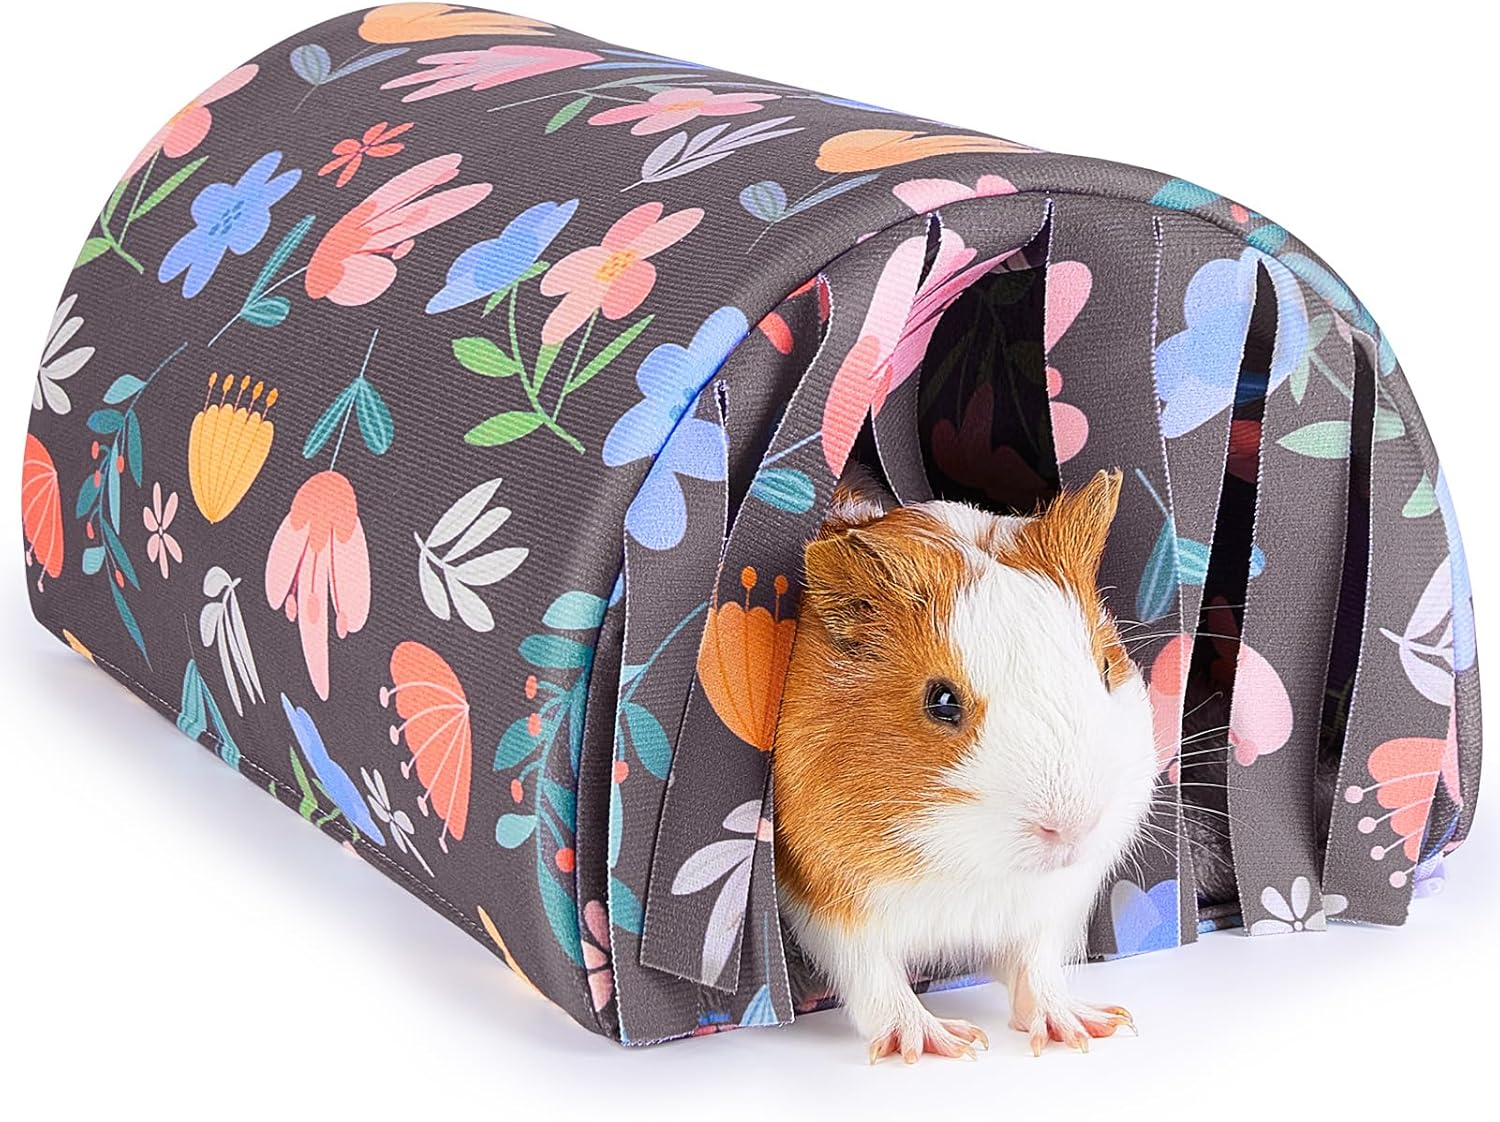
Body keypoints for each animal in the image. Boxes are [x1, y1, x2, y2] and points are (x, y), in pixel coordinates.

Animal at [772, 467, 1157, 1063]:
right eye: (941, 701)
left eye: (1103, 667)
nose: (1072, 827)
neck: (971, 873)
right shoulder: (833, 905)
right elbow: (876, 982)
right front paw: (945, 1044)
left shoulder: (1046, 909)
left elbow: (1036, 970)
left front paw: (1089, 1029)